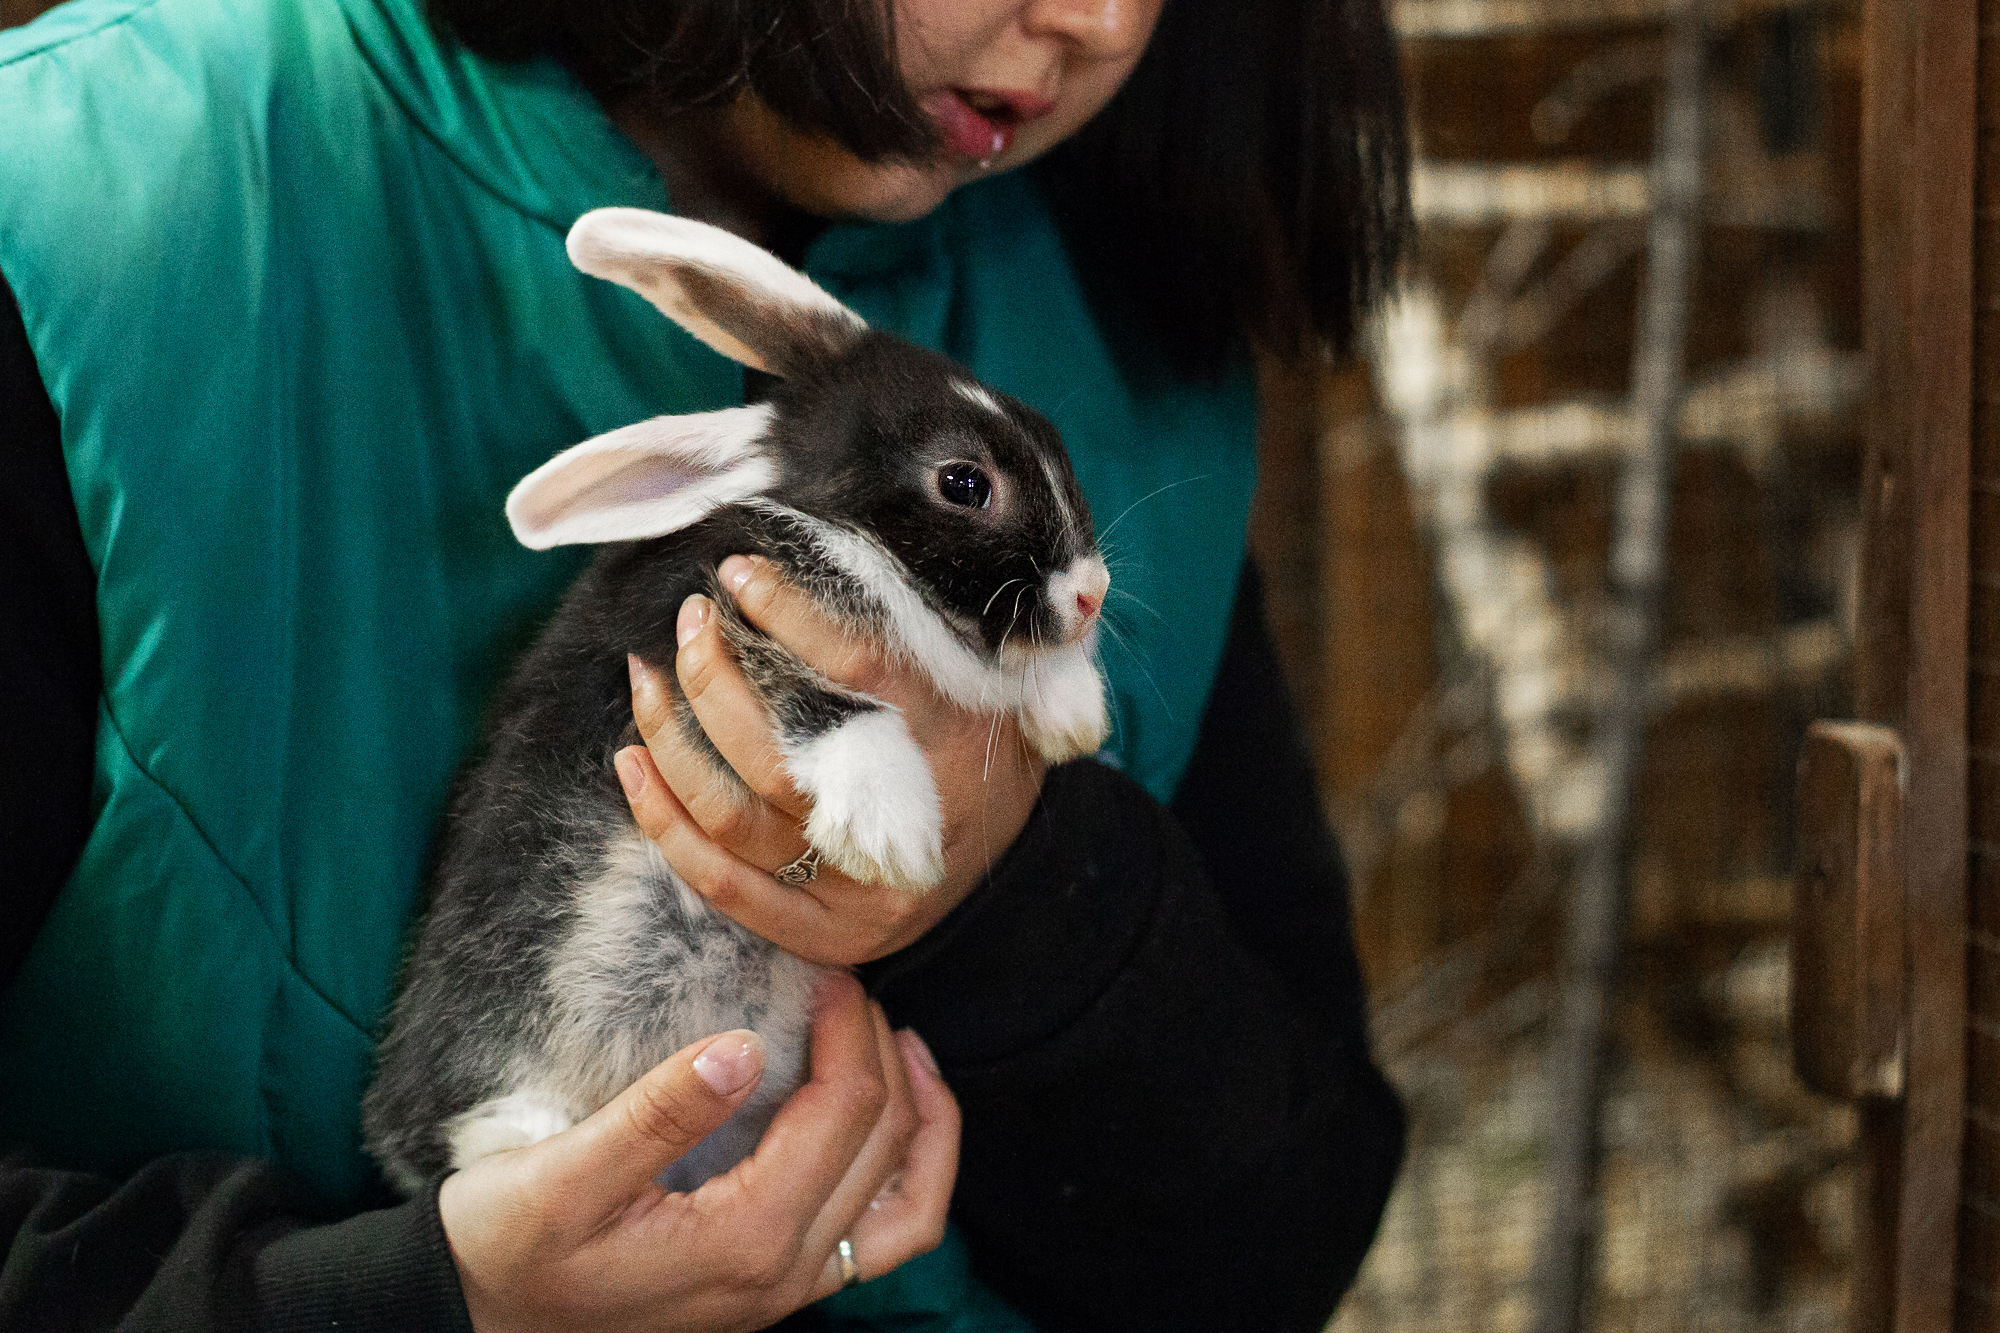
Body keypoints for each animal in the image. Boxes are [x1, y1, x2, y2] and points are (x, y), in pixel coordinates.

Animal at [360, 210, 1112, 1192]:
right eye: (963, 483)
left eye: (1048, 431)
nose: (1093, 591)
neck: (851, 535)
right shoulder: (693, 625)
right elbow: (817, 696)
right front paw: (891, 831)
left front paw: (1075, 711)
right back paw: (519, 1138)